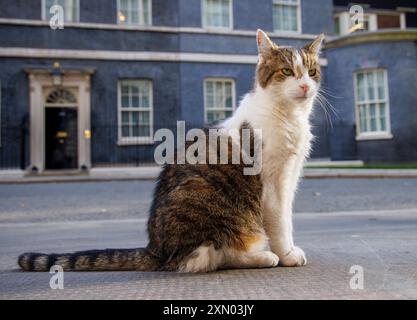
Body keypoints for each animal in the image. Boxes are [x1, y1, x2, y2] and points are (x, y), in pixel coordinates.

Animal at [18, 28, 324, 272]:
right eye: (287, 71)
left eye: (311, 72)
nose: (305, 86)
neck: (288, 116)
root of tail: (156, 249)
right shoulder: (273, 182)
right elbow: (280, 222)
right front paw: (287, 254)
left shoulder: (291, 176)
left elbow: (287, 218)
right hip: (209, 208)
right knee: (210, 256)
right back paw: (263, 257)